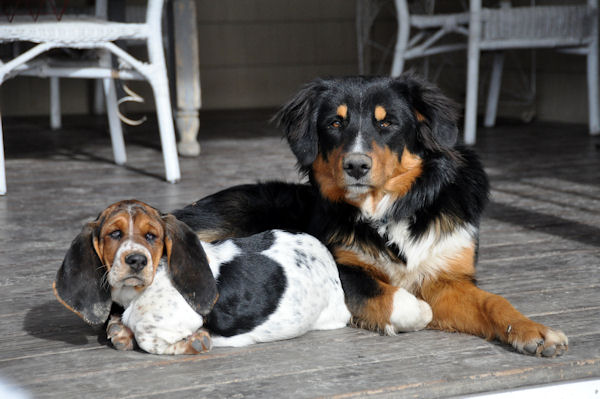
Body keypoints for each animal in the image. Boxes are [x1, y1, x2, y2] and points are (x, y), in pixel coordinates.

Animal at [54, 202, 354, 354]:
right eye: (114, 234)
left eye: (152, 236)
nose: (136, 261)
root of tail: (324, 253)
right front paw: (119, 331)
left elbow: (149, 338)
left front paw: (195, 341)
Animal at [173, 75, 568, 360]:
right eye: (335, 123)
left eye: (388, 123)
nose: (356, 165)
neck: (392, 208)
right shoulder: (342, 267)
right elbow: (397, 297)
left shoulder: (446, 275)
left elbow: (491, 302)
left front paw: (533, 331)